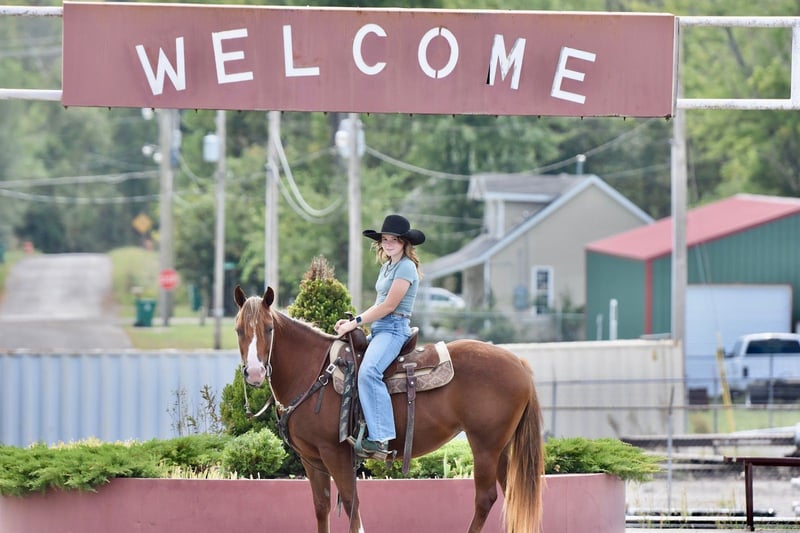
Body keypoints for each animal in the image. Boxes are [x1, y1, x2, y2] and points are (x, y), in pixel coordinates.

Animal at [233, 285, 544, 533]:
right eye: (238, 330)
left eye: (269, 328)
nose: (255, 372)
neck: (313, 373)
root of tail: (518, 363)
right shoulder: (312, 459)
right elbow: (322, 508)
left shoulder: (335, 453)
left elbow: (352, 504)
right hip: (501, 448)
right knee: (511, 495)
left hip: (485, 446)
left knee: (485, 498)